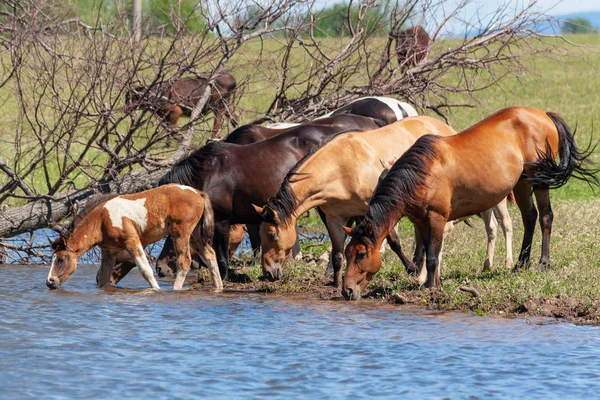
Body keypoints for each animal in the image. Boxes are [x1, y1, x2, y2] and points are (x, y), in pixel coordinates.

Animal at [45, 184, 221, 290]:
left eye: (61, 259)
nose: (49, 282)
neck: (102, 220)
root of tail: (197, 192)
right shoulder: (109, 252)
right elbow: (103, 278)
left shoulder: (132, 242)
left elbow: (146, 270)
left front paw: (156, 290)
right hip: (195, 236)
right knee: (210, 255)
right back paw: (219, 287)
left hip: (181, 233)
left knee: (184, 261)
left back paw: (175, 290)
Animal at [157, 114, 382, 280]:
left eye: (172, 234)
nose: (160, 268)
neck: (210, 174)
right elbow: (256, 243)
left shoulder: (222, 221)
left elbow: (222, 256)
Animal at [342, 107, 600, 300]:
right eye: (347, 252)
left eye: (362, 254)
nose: (347, 290)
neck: (420, 174)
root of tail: (544, 114)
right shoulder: (421, 220)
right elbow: (426, 252)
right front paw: (430, 282)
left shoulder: (437, 217)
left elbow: (433, 255)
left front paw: (431, 288)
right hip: (522, 182)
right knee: (530, 216)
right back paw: (520, 263)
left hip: (538, 177)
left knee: (545, 216)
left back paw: (541, 263)